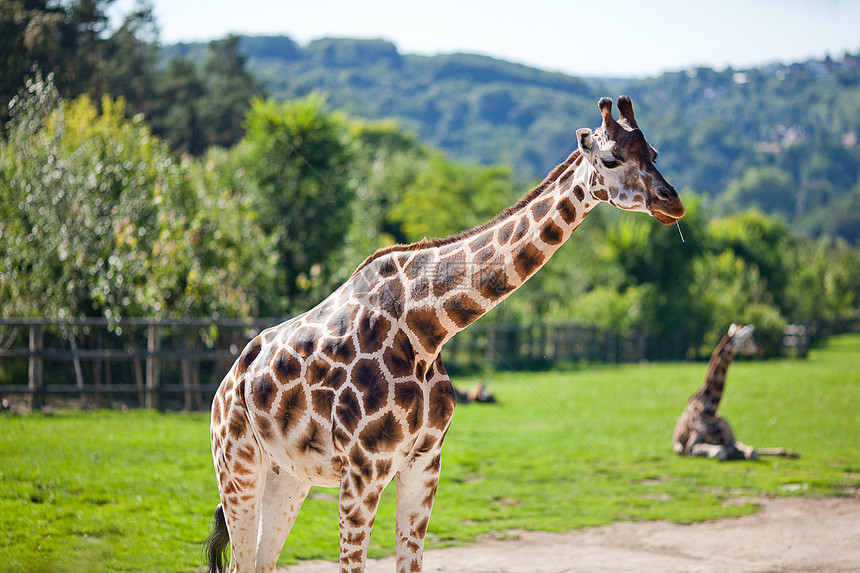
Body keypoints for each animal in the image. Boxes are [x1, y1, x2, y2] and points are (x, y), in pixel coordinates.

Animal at [202, 97, 684, 572]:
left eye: (654, 154)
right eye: (611, 159)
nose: (673, 202)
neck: (427, 329)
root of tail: (228, 382)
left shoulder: (425, 463)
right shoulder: (362, 472)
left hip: (288, 475)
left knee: (261, 561)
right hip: (237, 466)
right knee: (241, 559)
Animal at [672, 322, 800, 460]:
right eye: (748, 339)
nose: (760, 350)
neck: (709, 410)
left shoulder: (729, 439)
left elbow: (750, 451)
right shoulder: (690, 446)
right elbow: (720, 452)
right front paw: (734, 453)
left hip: (732, 433)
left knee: (753, 448)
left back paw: (792, 453)